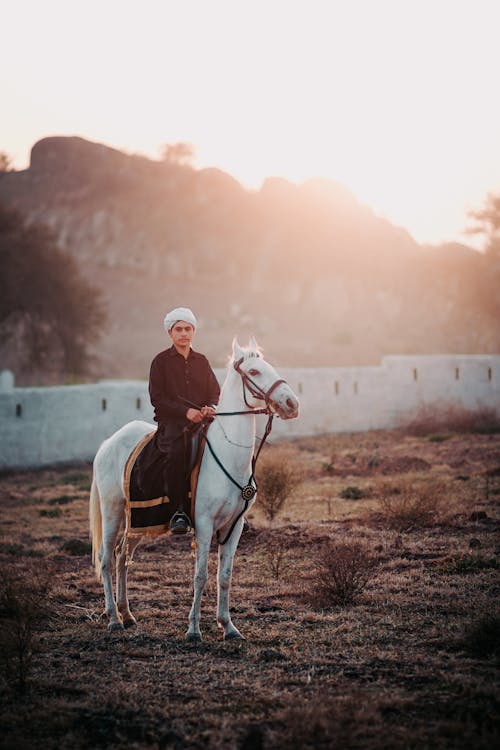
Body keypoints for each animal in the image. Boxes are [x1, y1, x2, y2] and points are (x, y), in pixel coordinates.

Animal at [89, 340, 298, 640]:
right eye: (254, 371)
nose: (292, 404)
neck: (228, 454)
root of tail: (109, 443)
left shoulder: (234, 526)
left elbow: (225, 577)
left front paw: (228, 626)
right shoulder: (204, 525)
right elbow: (200, 577)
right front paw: (193, 629)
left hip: (138, 521)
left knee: (121, 557)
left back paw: (126, 614)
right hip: (112, 511)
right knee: (106, 559)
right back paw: (113, 618)